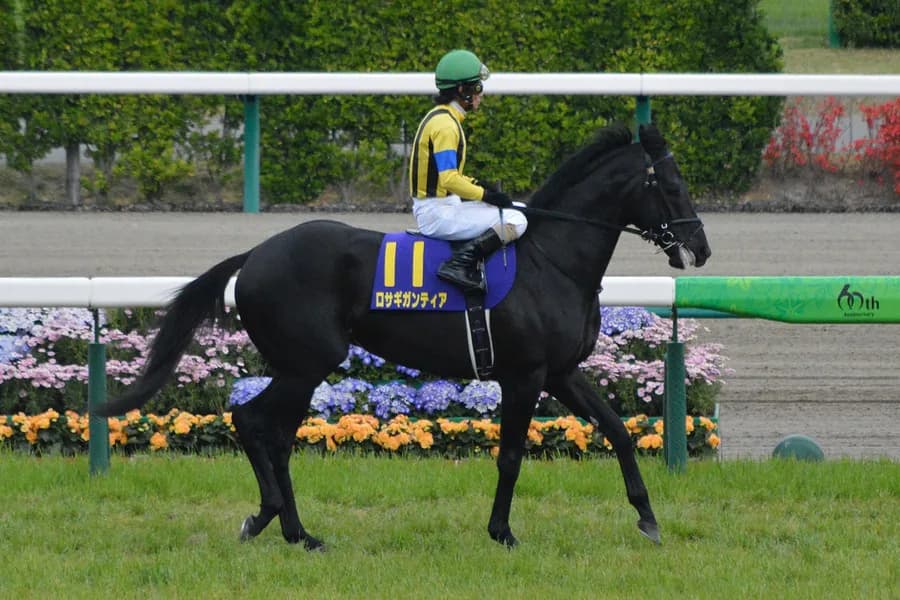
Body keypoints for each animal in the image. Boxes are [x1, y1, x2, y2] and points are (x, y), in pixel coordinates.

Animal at [95, 122, 711, 549]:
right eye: (673, 185)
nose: (701, 248)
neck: (551, 259)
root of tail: (256, 254)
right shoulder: (524, 375)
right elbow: (511, 456)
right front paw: (502, 532)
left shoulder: (560, 371)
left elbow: (619, 431)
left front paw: (648, 518)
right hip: (307, 362)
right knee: (252, 421)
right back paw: (270, 518)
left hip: (300, 368)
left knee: (276, 436)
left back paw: (297, 531)